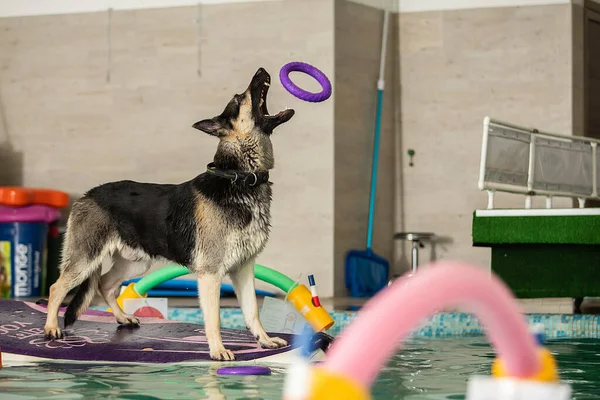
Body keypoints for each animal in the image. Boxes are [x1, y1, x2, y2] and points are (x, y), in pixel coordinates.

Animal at [42, 67, 296, 360]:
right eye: (239, 97)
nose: (262, 70)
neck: (240, 178)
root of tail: (87, 194)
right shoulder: (211, 275)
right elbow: (214, 318)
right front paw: (218, 349)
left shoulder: (244, 269)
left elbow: (252, 310)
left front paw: (264, 340)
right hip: (85, 260)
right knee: (57, 288)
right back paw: (51, 327)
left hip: (136, 263)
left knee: (105, 284)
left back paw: (122, 318)